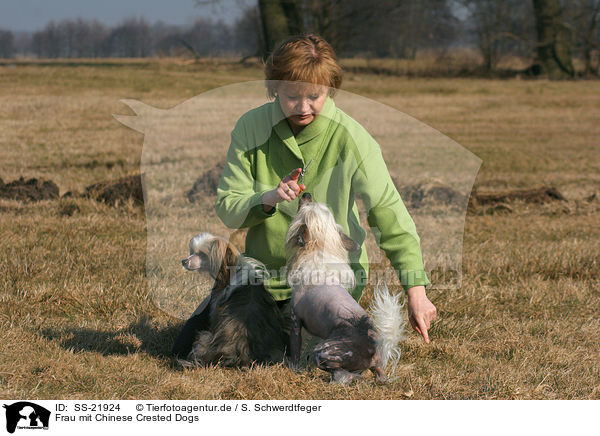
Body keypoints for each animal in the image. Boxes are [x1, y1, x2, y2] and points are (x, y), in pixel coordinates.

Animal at [286, 192, 408, 384]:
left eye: (305, 209)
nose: (306, 194)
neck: (317, 250)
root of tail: (375, 347)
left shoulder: (295, 322)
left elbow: (295, 352)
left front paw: (294, 369)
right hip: (374, 368)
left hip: (323, 351)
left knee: (343, 373)